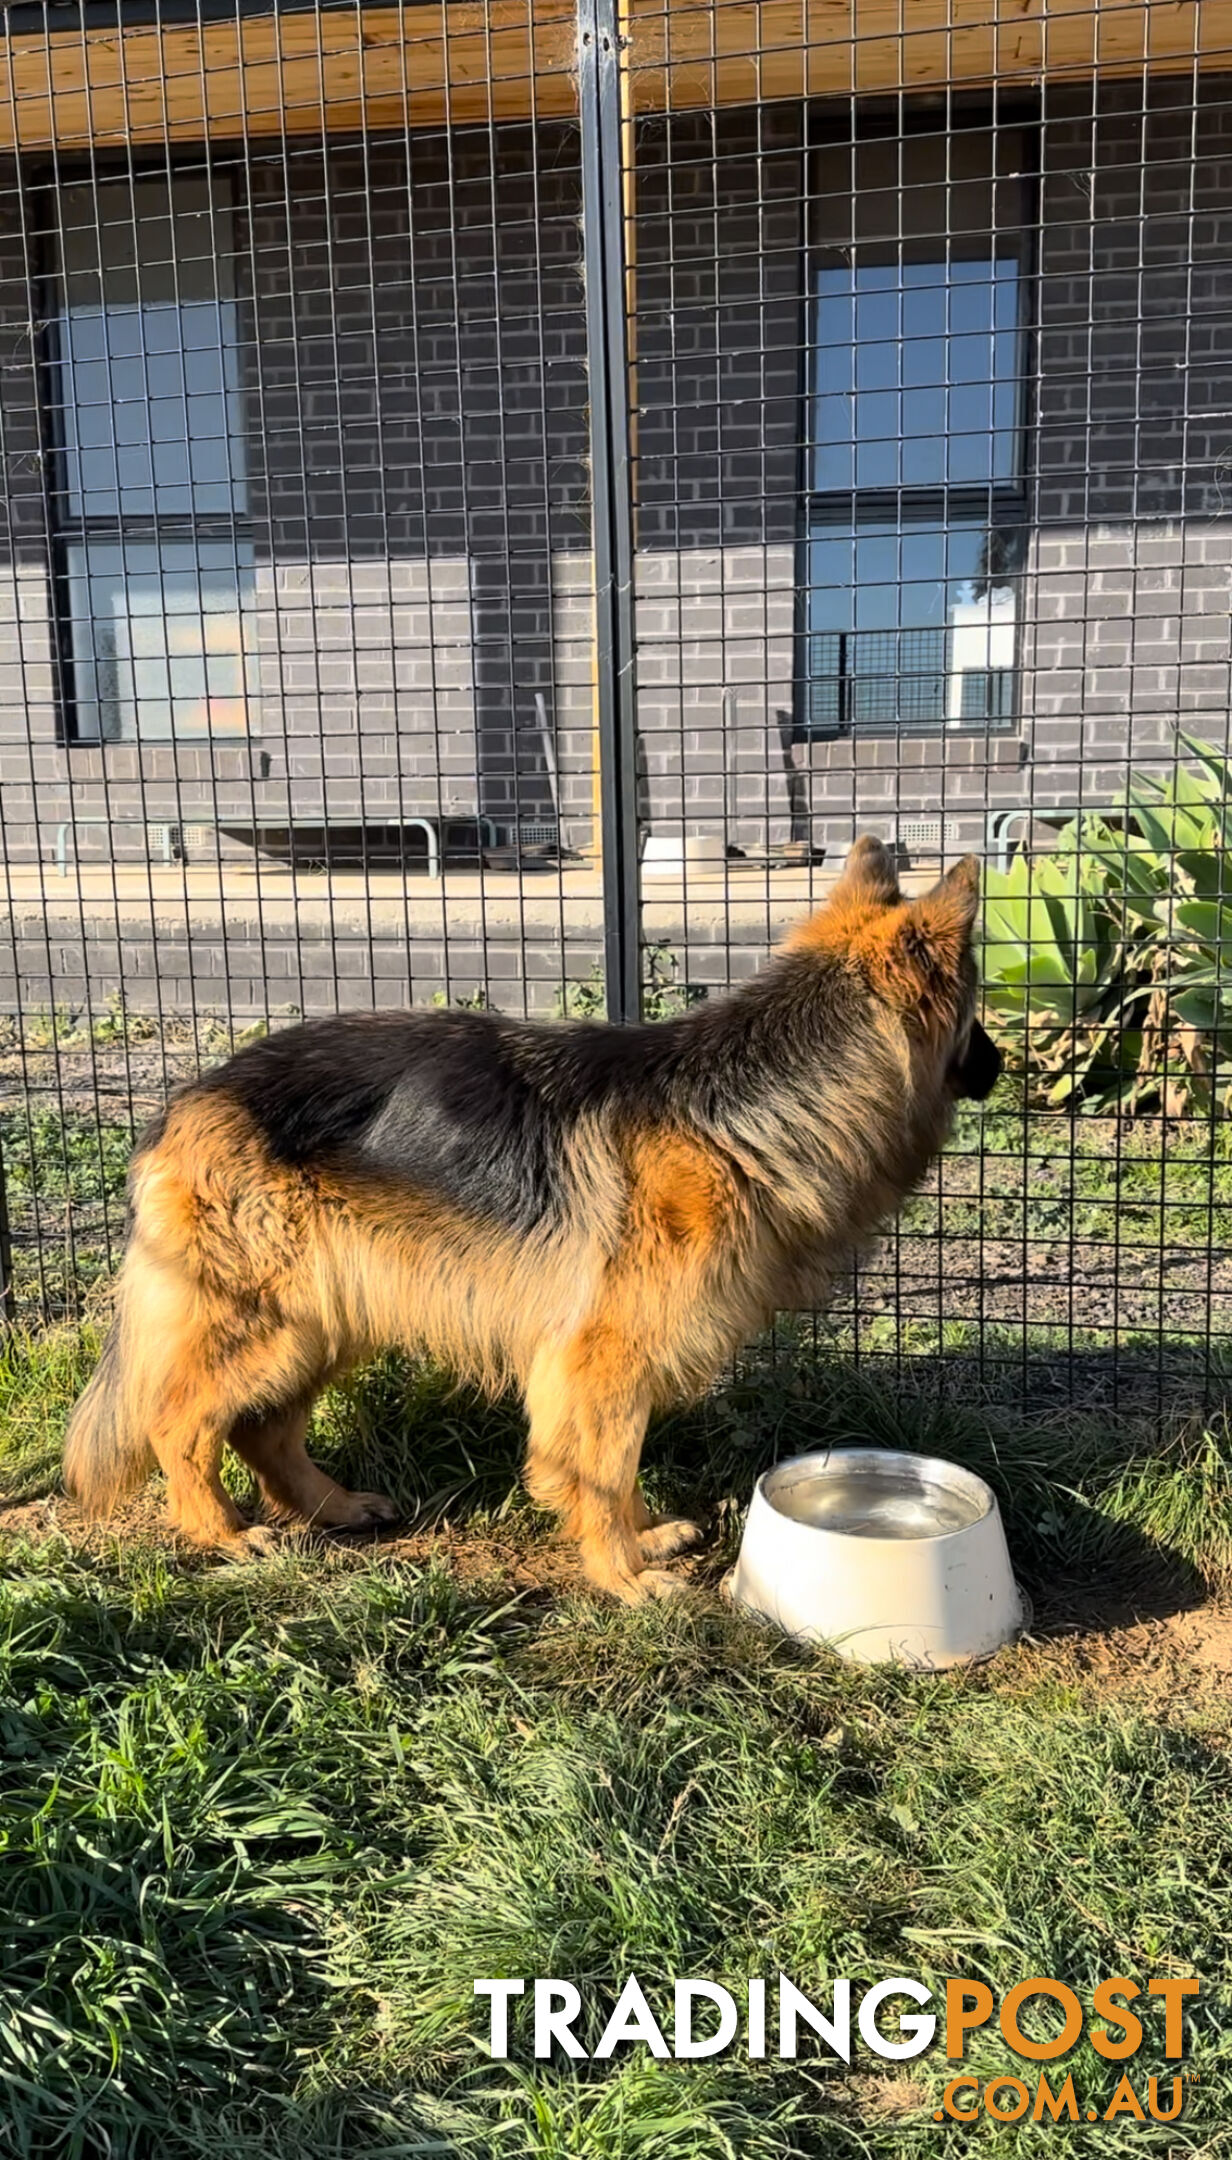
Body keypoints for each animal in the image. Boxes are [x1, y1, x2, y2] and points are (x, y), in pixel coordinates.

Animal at [62, 842, 994, 1607]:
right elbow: (604, 1465)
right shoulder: (602, 1359)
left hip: (328, 1317)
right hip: (264, 1322)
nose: (1000, 1062)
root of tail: (186, 1100)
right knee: (176, 1420)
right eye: (977, 1014)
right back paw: (221, 1532)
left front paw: (642, 1535)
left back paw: (334, 1506)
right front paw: (624, 1573)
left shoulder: (601, 1366)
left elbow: (613, 1466)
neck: (738, 1111)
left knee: (263, 1427)